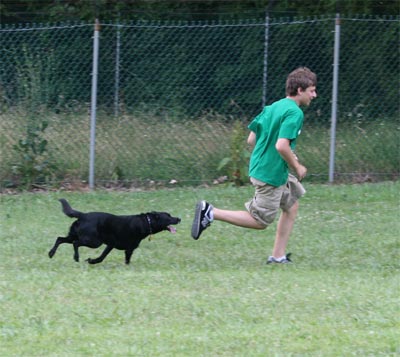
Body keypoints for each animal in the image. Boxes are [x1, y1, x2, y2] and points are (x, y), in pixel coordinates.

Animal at [48, 199, 181, 262]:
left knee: (60, 239)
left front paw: (92, 261)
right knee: (75, 244)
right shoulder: (122, 247)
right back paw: (76, 257)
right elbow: (102, 257)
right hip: (93, 241)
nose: (179, 218)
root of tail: (83, 215)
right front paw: (91, 261)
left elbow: (104, 257)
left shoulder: (114, 246)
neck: (146, 221)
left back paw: (51, 253)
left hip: (75, 235)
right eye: (168, 216)